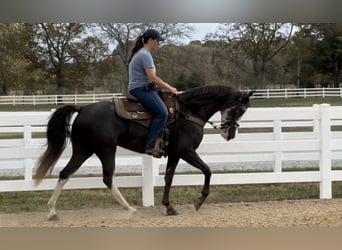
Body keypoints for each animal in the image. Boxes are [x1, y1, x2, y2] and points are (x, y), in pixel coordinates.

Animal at [34, 84, 254, 219]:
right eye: (240, 109)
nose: (230, 134)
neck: (189, 112)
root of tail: (83, 109)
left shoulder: (174, 154)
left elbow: (168, 177)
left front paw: (169, 206)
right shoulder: (186, 151)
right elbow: (208, 170)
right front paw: (198, 201)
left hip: (83, 150)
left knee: (65, 174)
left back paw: (52, 212)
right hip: (106, 150)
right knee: (107, 178)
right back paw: (130, 208)